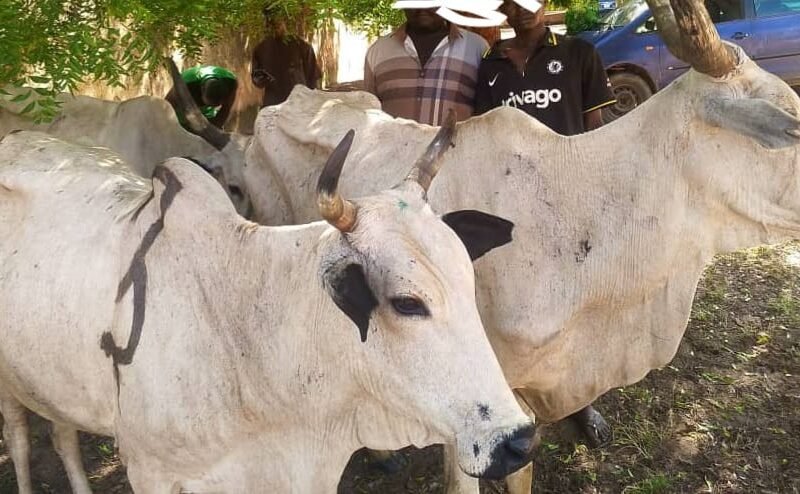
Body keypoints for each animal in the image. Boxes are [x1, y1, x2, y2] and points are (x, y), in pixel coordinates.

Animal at [0, 121, 537, 492]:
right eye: (407, 303)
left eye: (469, 282)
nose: (517, 441)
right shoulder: (149, 472)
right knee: (21, 440)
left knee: (63, 436)